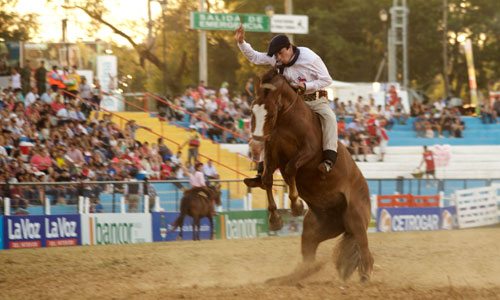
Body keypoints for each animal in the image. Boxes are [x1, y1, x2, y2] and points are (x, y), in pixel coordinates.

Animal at [250, 68, 376, 282]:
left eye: (271, 112)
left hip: (356, 220)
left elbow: (291, 169)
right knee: (308, 260)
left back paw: (365, 277)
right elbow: (267, 180)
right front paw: (275, 219)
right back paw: (288, 278)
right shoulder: (272, 155)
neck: (288, 122)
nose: (255, 144)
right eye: (252, 111)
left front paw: (296, 205)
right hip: (312, 231)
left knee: (365, 250)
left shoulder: (307, 152)